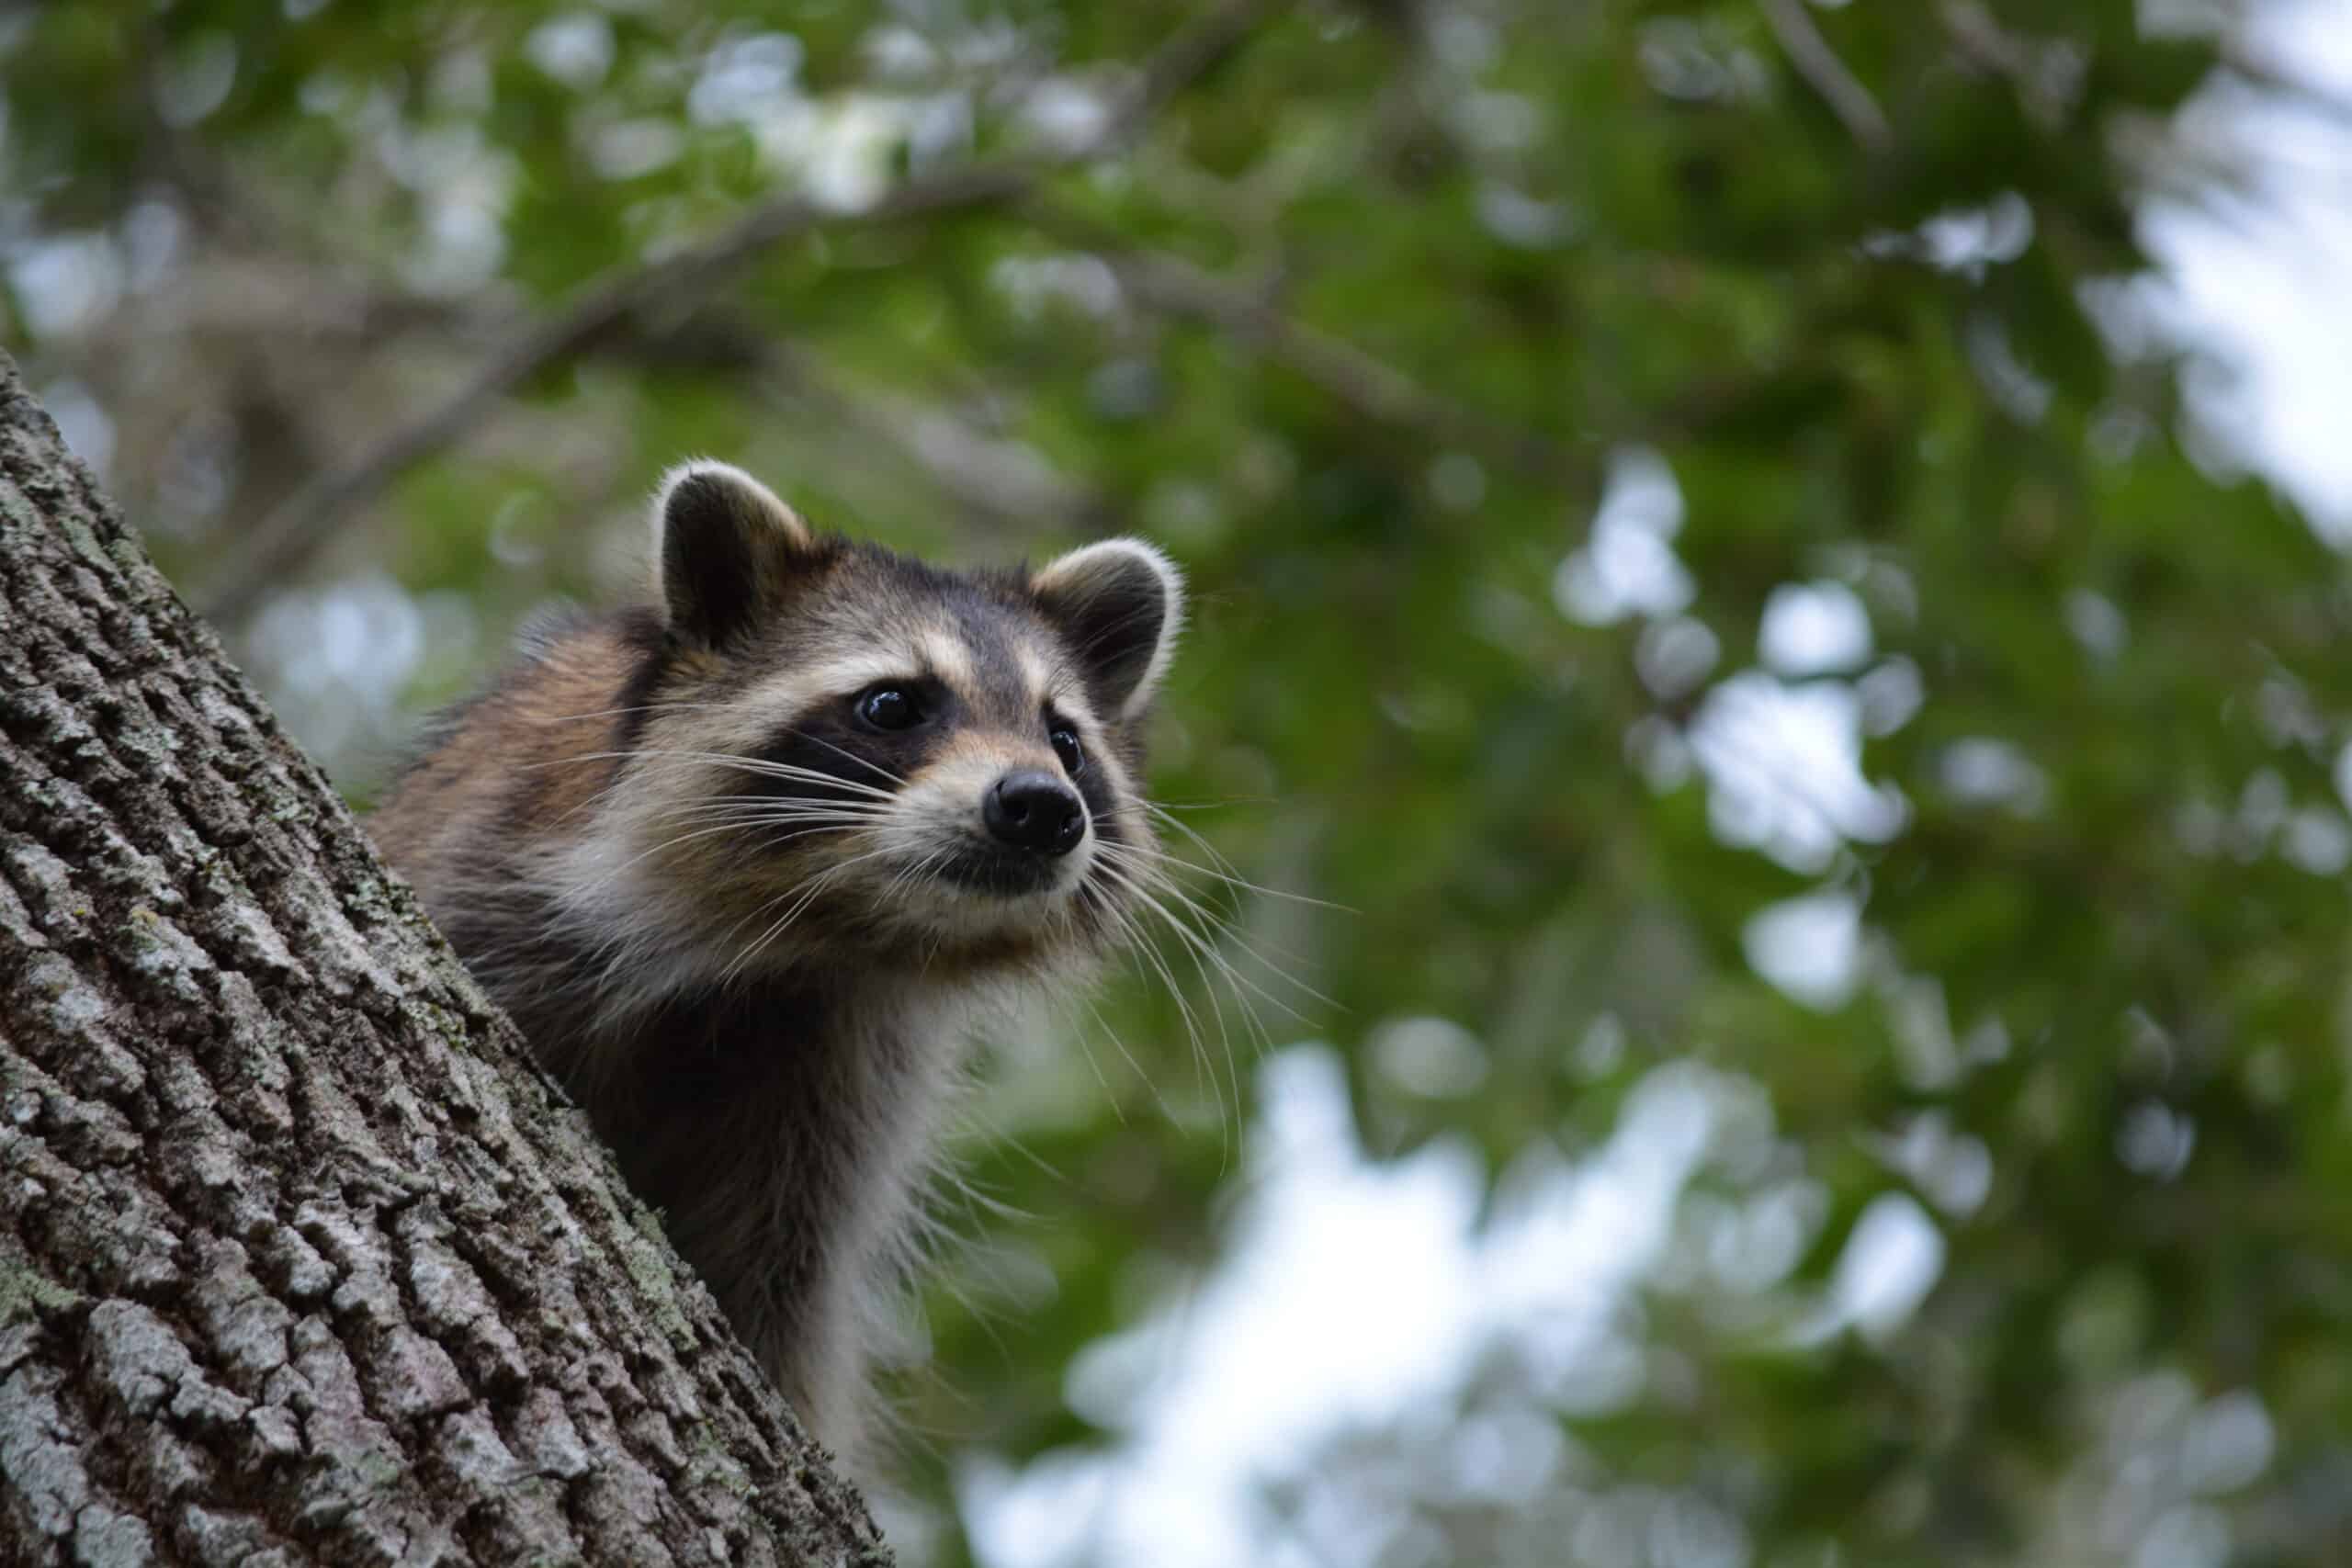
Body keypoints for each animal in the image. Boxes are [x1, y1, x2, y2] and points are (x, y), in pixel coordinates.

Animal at [371, 461, 1183, 1457]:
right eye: (892, 704)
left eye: (1064, 739)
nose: (1042, 805)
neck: (816, 930)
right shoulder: (493, 884)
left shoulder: (840, 1065)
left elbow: (781, 1283)